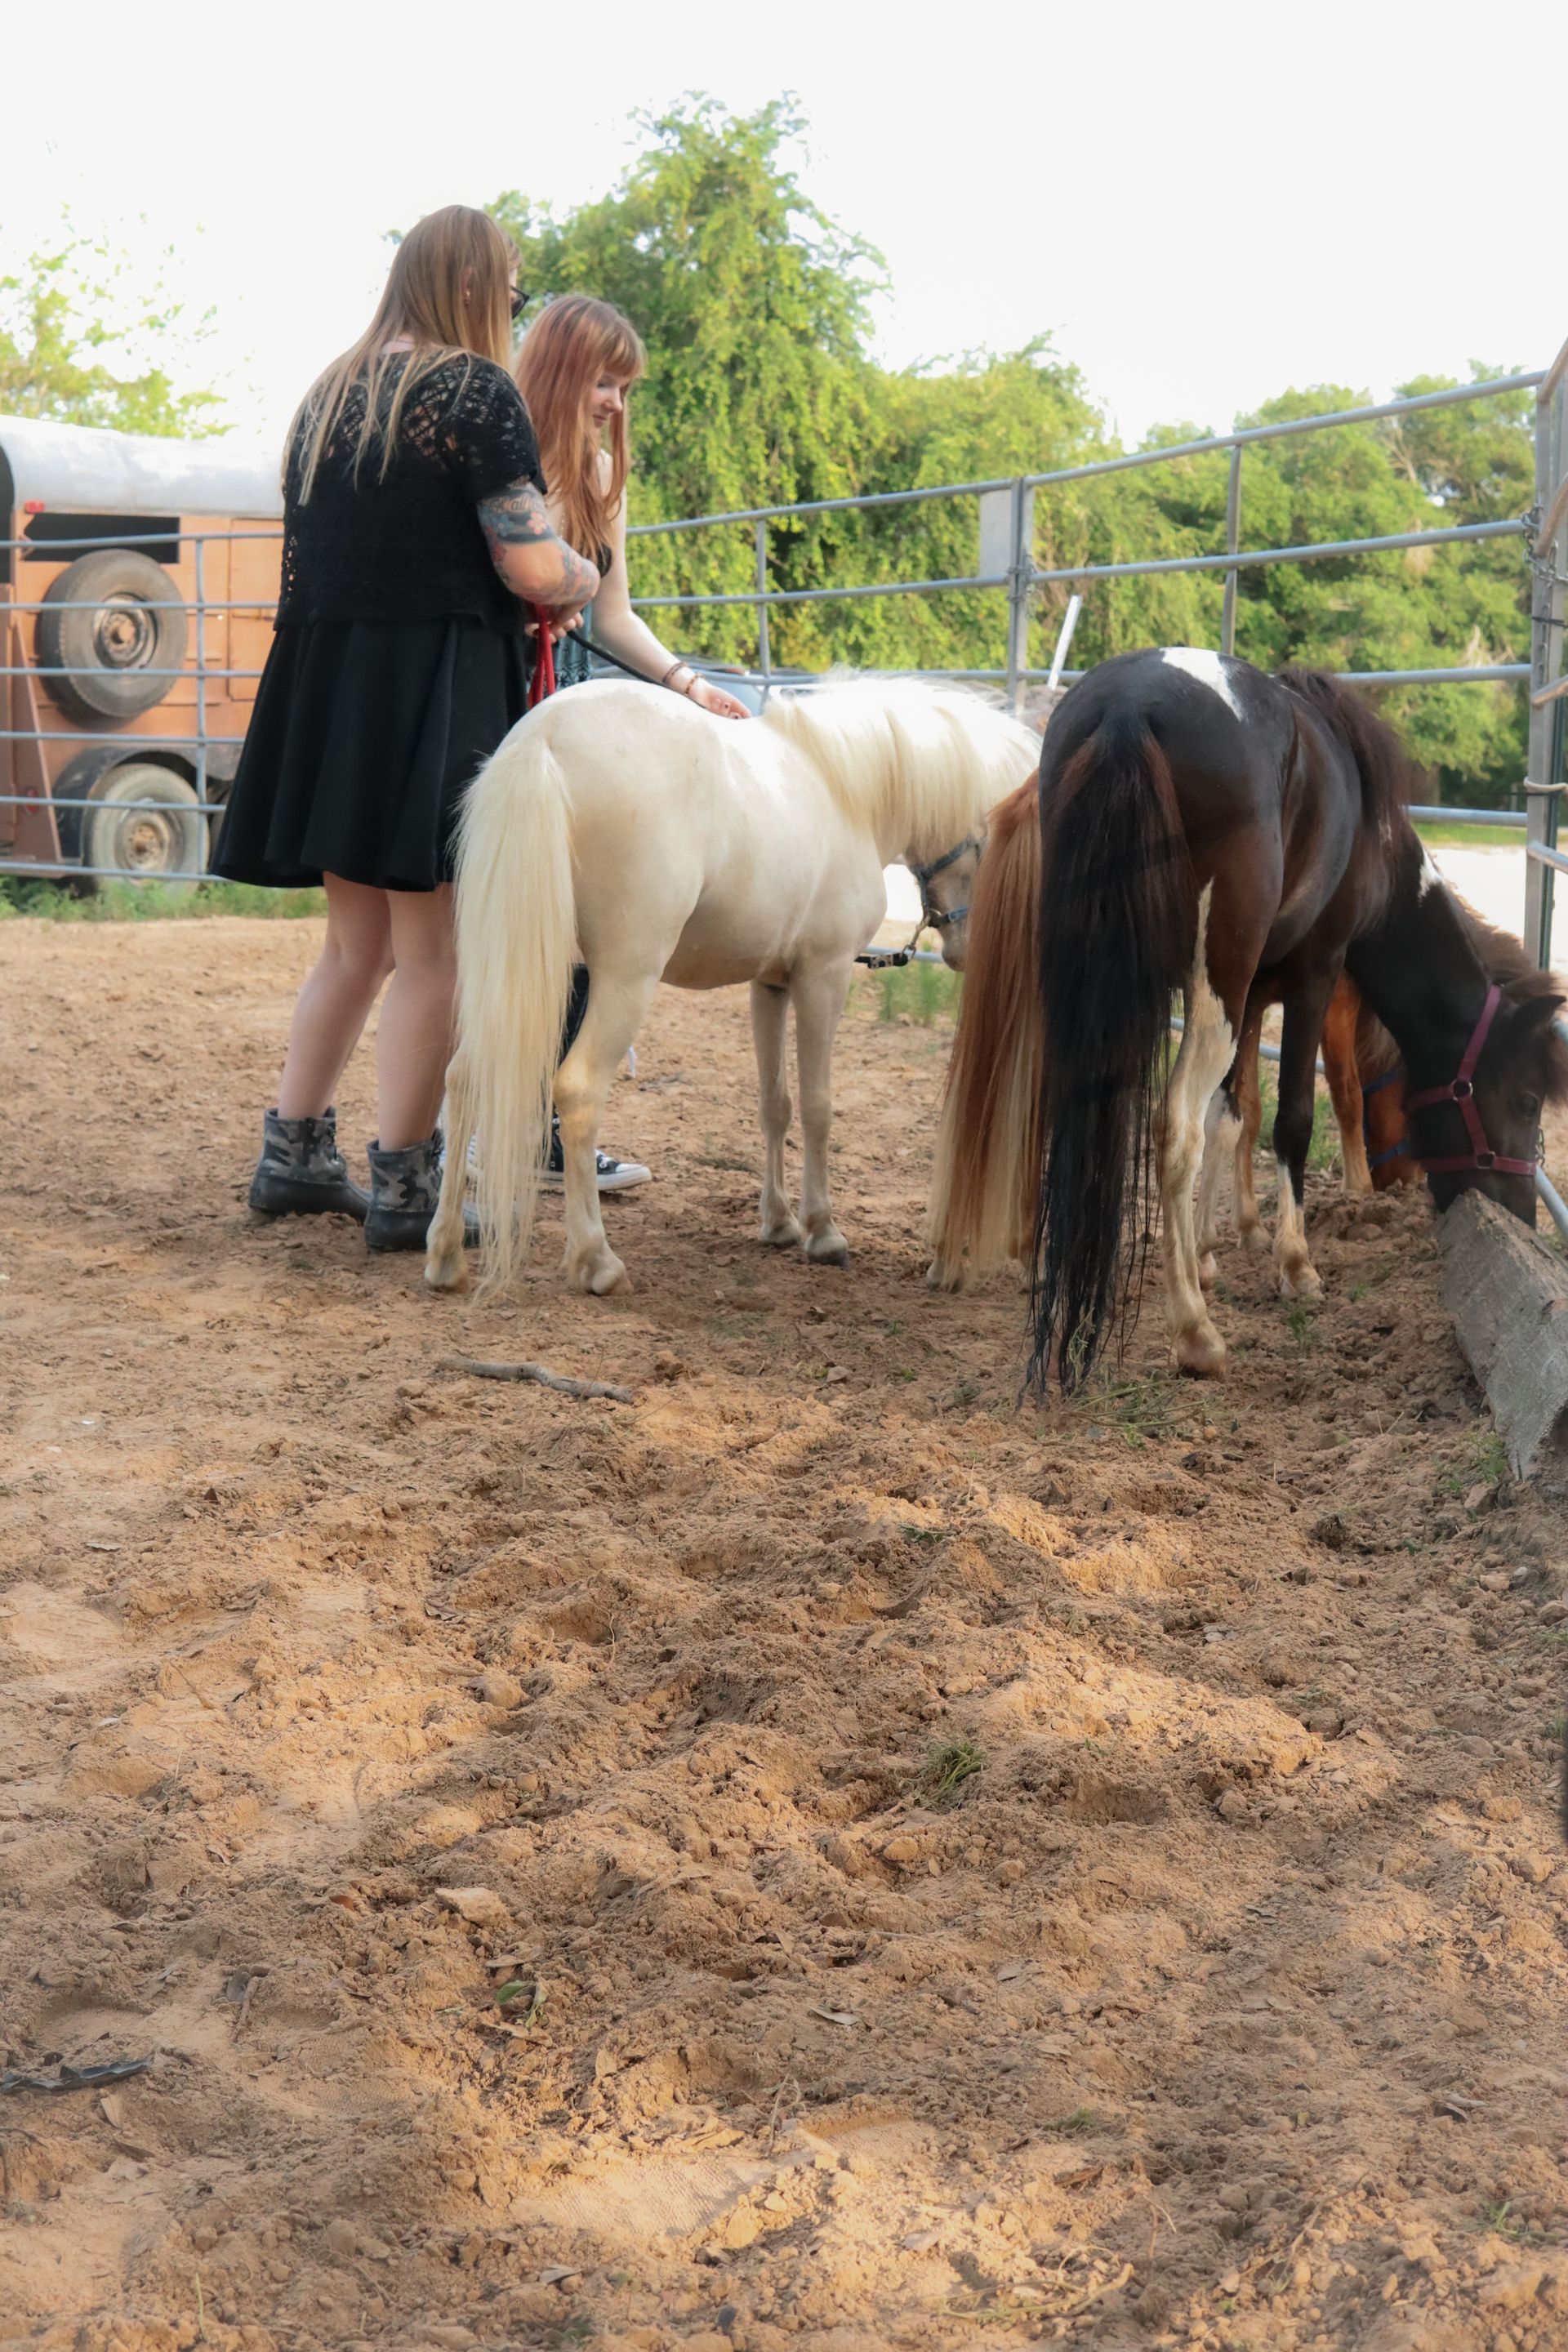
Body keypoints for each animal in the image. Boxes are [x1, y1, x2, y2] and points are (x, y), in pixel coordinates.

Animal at [424, 675, 1040, 1299]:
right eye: (991, 841)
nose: (968, 953)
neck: (844, 791)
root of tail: (544, 737)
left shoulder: (770, 984)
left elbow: (776, 1105)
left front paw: (779, 1223)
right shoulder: (825, 975)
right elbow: (818, 1105)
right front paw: (823, 1231)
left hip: (512, 968)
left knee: (464, 1081)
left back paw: (446, 1255)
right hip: (624, 976)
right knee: (577, 1089)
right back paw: (597, 1261)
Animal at [927, 647, 1568, 1387]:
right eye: (1526, 1100)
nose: (1521, 1217)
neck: (1373, 848)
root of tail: (1128, 708)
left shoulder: (1258, 992)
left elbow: (1233, 1114)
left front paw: (1209, 1247)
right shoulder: (1313, 974)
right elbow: (1287, 1119)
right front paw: (1293, 1261)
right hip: (1211, 987)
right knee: (1172, 1126)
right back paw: (1194, 1331)